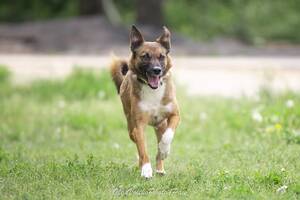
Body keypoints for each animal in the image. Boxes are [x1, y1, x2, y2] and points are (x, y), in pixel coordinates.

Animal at [110, 25, 179, 178]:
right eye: (145, 56)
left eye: (161, 56)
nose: (157, 70)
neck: (152, 90)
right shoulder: (139, 125)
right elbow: (143, 149)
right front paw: (146, 170)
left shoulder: (175, 115)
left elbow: (167, 137)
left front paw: (164, 150)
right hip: (131, 128)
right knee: (138, 144)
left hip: (160, 125)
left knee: (160, 142)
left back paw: (160, 168)